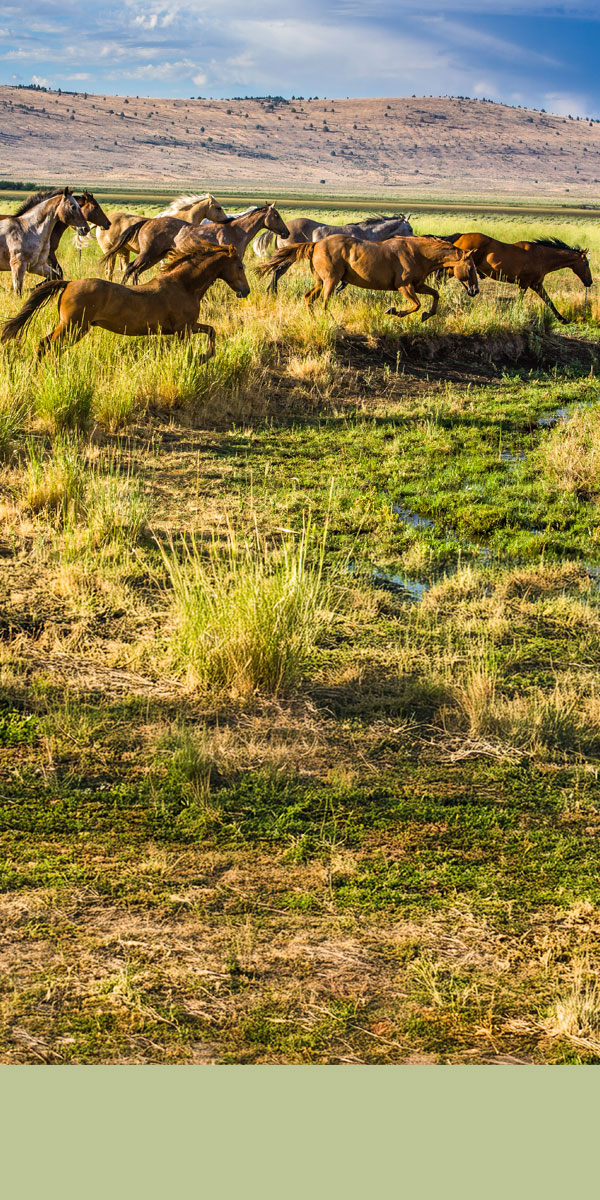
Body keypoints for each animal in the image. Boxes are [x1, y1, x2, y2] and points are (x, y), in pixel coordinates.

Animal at [1, 242, 250, 360]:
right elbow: (202, 339)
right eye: (239, 266)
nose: (245, 291)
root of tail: (69, 283)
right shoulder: (183, 329)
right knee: (46, 345)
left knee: (49, 346)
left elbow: (212, 331)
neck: (183, 285)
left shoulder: (185, 328)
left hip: (73, 327)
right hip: (73, 326)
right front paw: (201, 358)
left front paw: (205, 356)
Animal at [103, 203, 290, 285]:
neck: (236, 230)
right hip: (148, 254)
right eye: (276, 216)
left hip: (155, 256)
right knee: (130, 268)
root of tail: (147, 222)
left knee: (136, 271)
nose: (286, 233)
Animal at [255, 214, 413, 293]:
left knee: (277, 271)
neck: (366, 233)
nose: (414, 238)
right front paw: (335, 292)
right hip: (290, 257)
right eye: (410, 229)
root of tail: (282, 230)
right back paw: (272, 292)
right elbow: (344, 283)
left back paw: (270, 291)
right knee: (277, 271)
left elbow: (344, 282)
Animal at [256, 235, 479, 317]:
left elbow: (435, 296)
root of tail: (316, 244)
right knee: (324, 302)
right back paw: (329, 320)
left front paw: (427, 315)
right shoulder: (405, 286)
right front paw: (393, 311)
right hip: (331, 281)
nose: (475, 290)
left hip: (320, 282)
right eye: (471, 268)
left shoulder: (417, 285)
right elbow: (416, 305)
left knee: (309, 297)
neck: (417, 253)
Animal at [441, 233, 592, 324]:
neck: (542, 257)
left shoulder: (536, 284)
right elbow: (520, 300)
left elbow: (549, 301)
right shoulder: (524, 283)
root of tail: (460, 236)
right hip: (454, 268)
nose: (589, 282)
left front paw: (562, 319)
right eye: (586, 263)